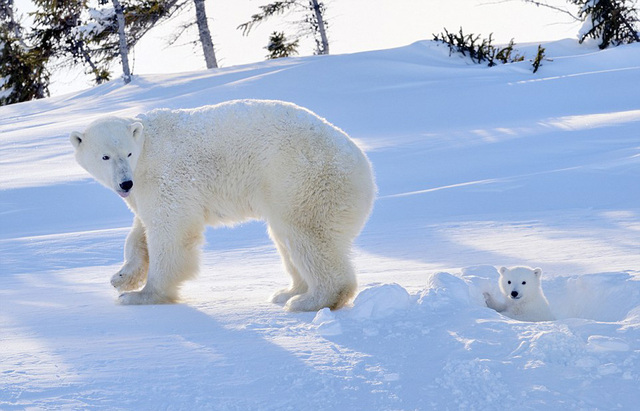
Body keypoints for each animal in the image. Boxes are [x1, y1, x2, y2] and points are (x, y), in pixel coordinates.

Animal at [70, 100, 376, 312]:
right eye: (105, 156)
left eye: (129, 153)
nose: (125, 183)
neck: (147, 148)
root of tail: (364, 167)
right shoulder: (143, 188)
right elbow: (140, 230)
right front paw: (121, 277)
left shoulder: (164, 176)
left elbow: (171, 230)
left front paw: (140, 295)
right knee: (285, 238)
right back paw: (287, 292)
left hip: (303, 181)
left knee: (308, 236)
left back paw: (308, 300)